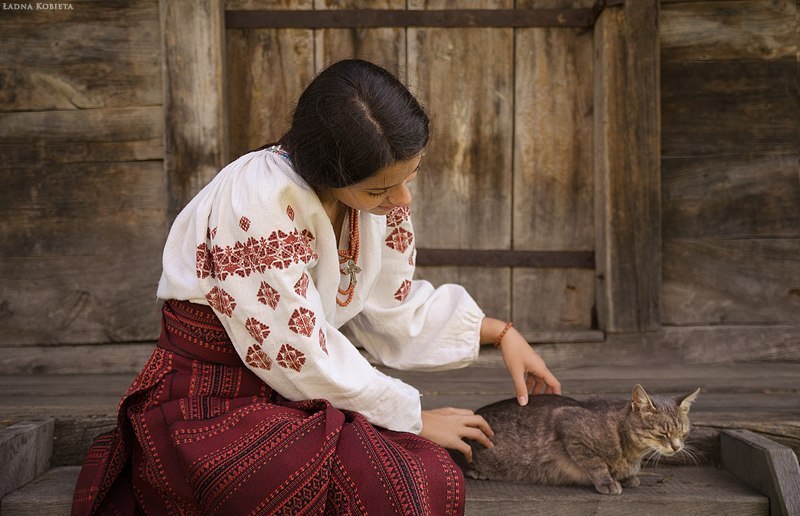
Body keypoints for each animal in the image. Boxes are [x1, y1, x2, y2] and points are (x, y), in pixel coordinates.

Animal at [466, 384, 696, 494]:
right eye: (662, 433)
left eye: (683, 432)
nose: (677, 447)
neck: (631, 452)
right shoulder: (568, 424)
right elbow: (595, 463)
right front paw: (608, 481)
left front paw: (627, 477)